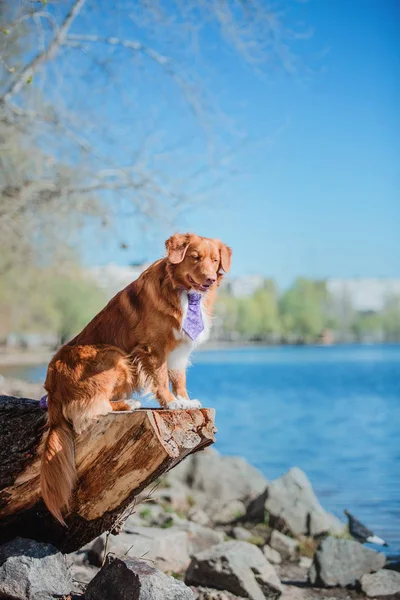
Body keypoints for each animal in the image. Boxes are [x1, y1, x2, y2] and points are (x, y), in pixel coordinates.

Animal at [40, 232, 231, 524]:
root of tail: (52, 390)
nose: (210, 279)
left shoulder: (178, 350)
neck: (181, 292)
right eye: (195, 257)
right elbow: (161, 378)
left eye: (215, 260)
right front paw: (171, 403)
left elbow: (179, 378)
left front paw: (185, 400)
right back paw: (127, 404)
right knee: (90, 409)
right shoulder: (154, 348)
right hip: (111, 356)